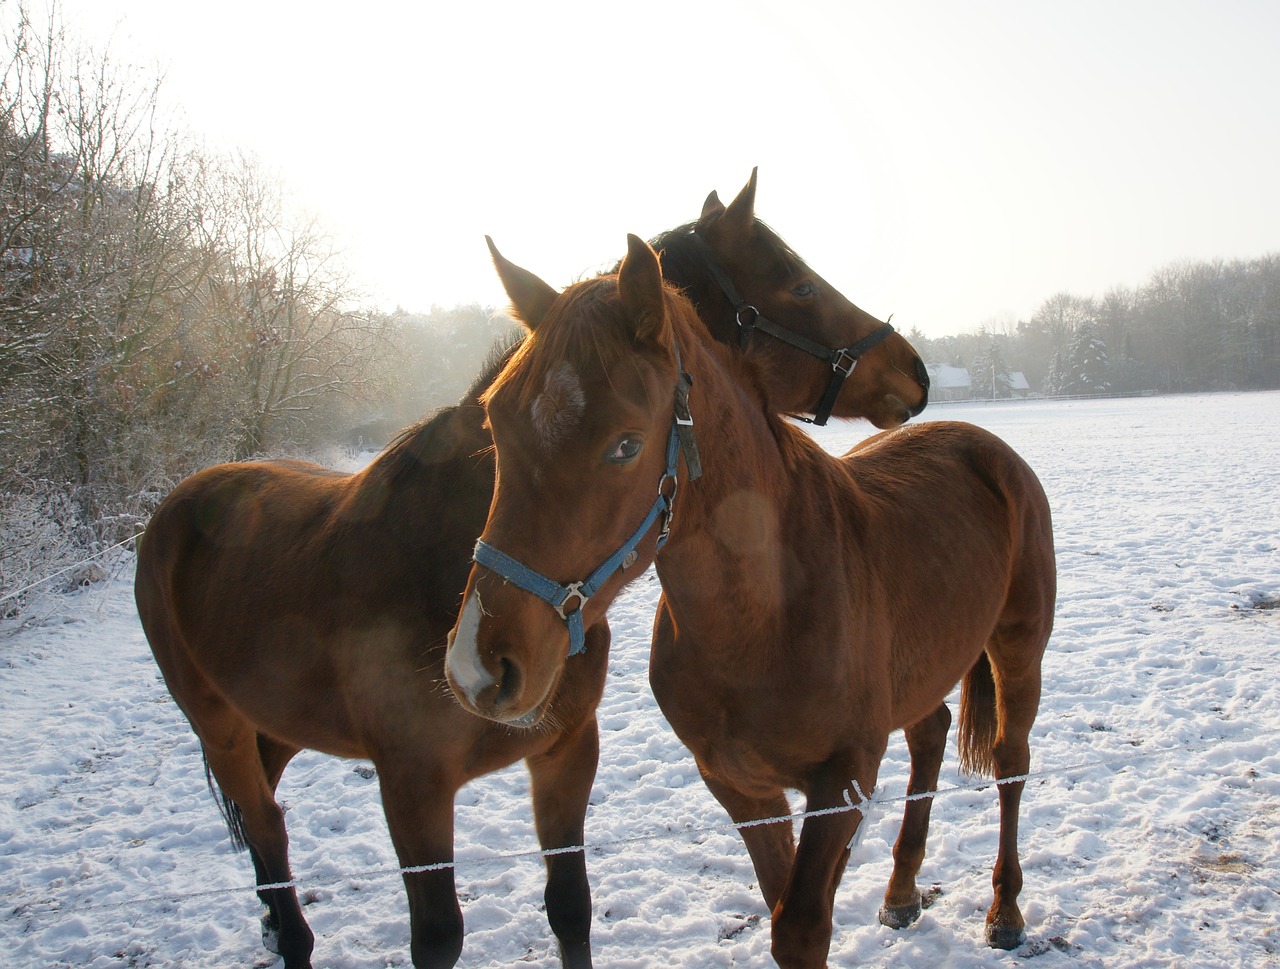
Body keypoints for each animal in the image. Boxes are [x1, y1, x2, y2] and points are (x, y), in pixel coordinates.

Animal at [132, 175, 931, 967]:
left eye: (625, 444)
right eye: (800, 284)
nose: (914, 369)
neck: (430, 556)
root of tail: (178, 504)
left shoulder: (565, 754)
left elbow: (570, 908)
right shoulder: (413, 788)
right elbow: (438, 938)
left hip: (272, 728)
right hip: (220, 729)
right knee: (269, 840)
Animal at [445, 234, 1054, 967]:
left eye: (626, 444)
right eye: (494, 426)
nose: (480, 666)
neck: (763, 615)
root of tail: (984, 444)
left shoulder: (842, 780)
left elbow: (801, 925)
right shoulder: (742, 787)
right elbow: (778, 904)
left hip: (1019, 652)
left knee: (1012, 763)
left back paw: (1006, 910)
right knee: (930, 733)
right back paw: (902, 891)